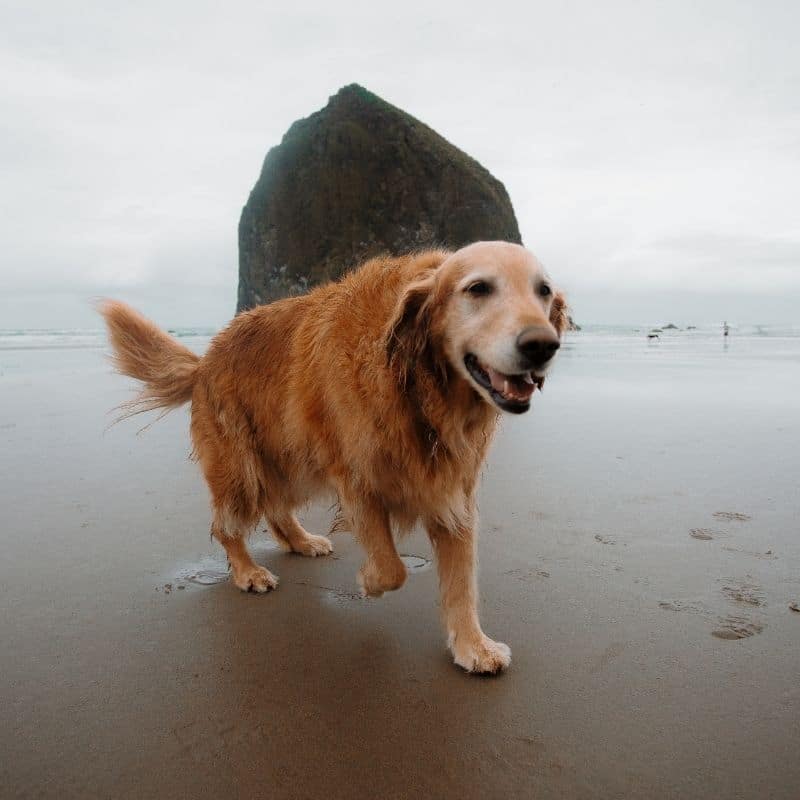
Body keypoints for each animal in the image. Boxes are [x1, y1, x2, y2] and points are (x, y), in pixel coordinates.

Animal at [100, 241, 568, 672]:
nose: (543, 345)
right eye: (478, 288)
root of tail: (204, 360)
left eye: (543, 291)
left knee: (277, 510)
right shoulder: (357, 479)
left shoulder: (453, 492)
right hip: (243, 469)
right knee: (227, 525)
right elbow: (393, 567)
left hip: (293, 456)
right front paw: (369, 582)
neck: (418, 388)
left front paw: (473, 646)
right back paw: (248, 572)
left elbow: (462, 581)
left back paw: (301, 541)